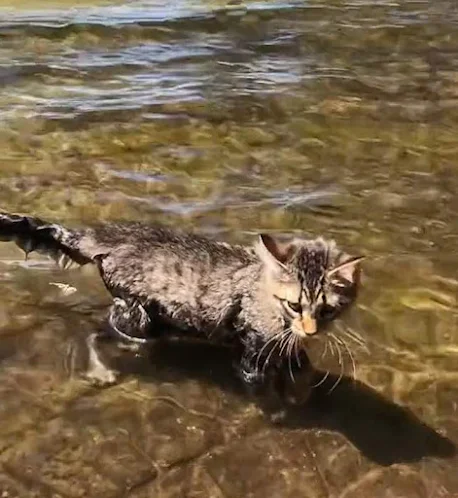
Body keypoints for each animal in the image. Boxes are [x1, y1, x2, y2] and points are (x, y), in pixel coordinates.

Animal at [0, 212, 364, 402]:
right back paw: (100, 370)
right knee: (95, 330)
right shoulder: (251, 347)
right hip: (137, 318)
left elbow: (302, 367)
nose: (311, 330)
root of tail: (108, 235)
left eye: (327, 310)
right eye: (294, 305)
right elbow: (259, 376)